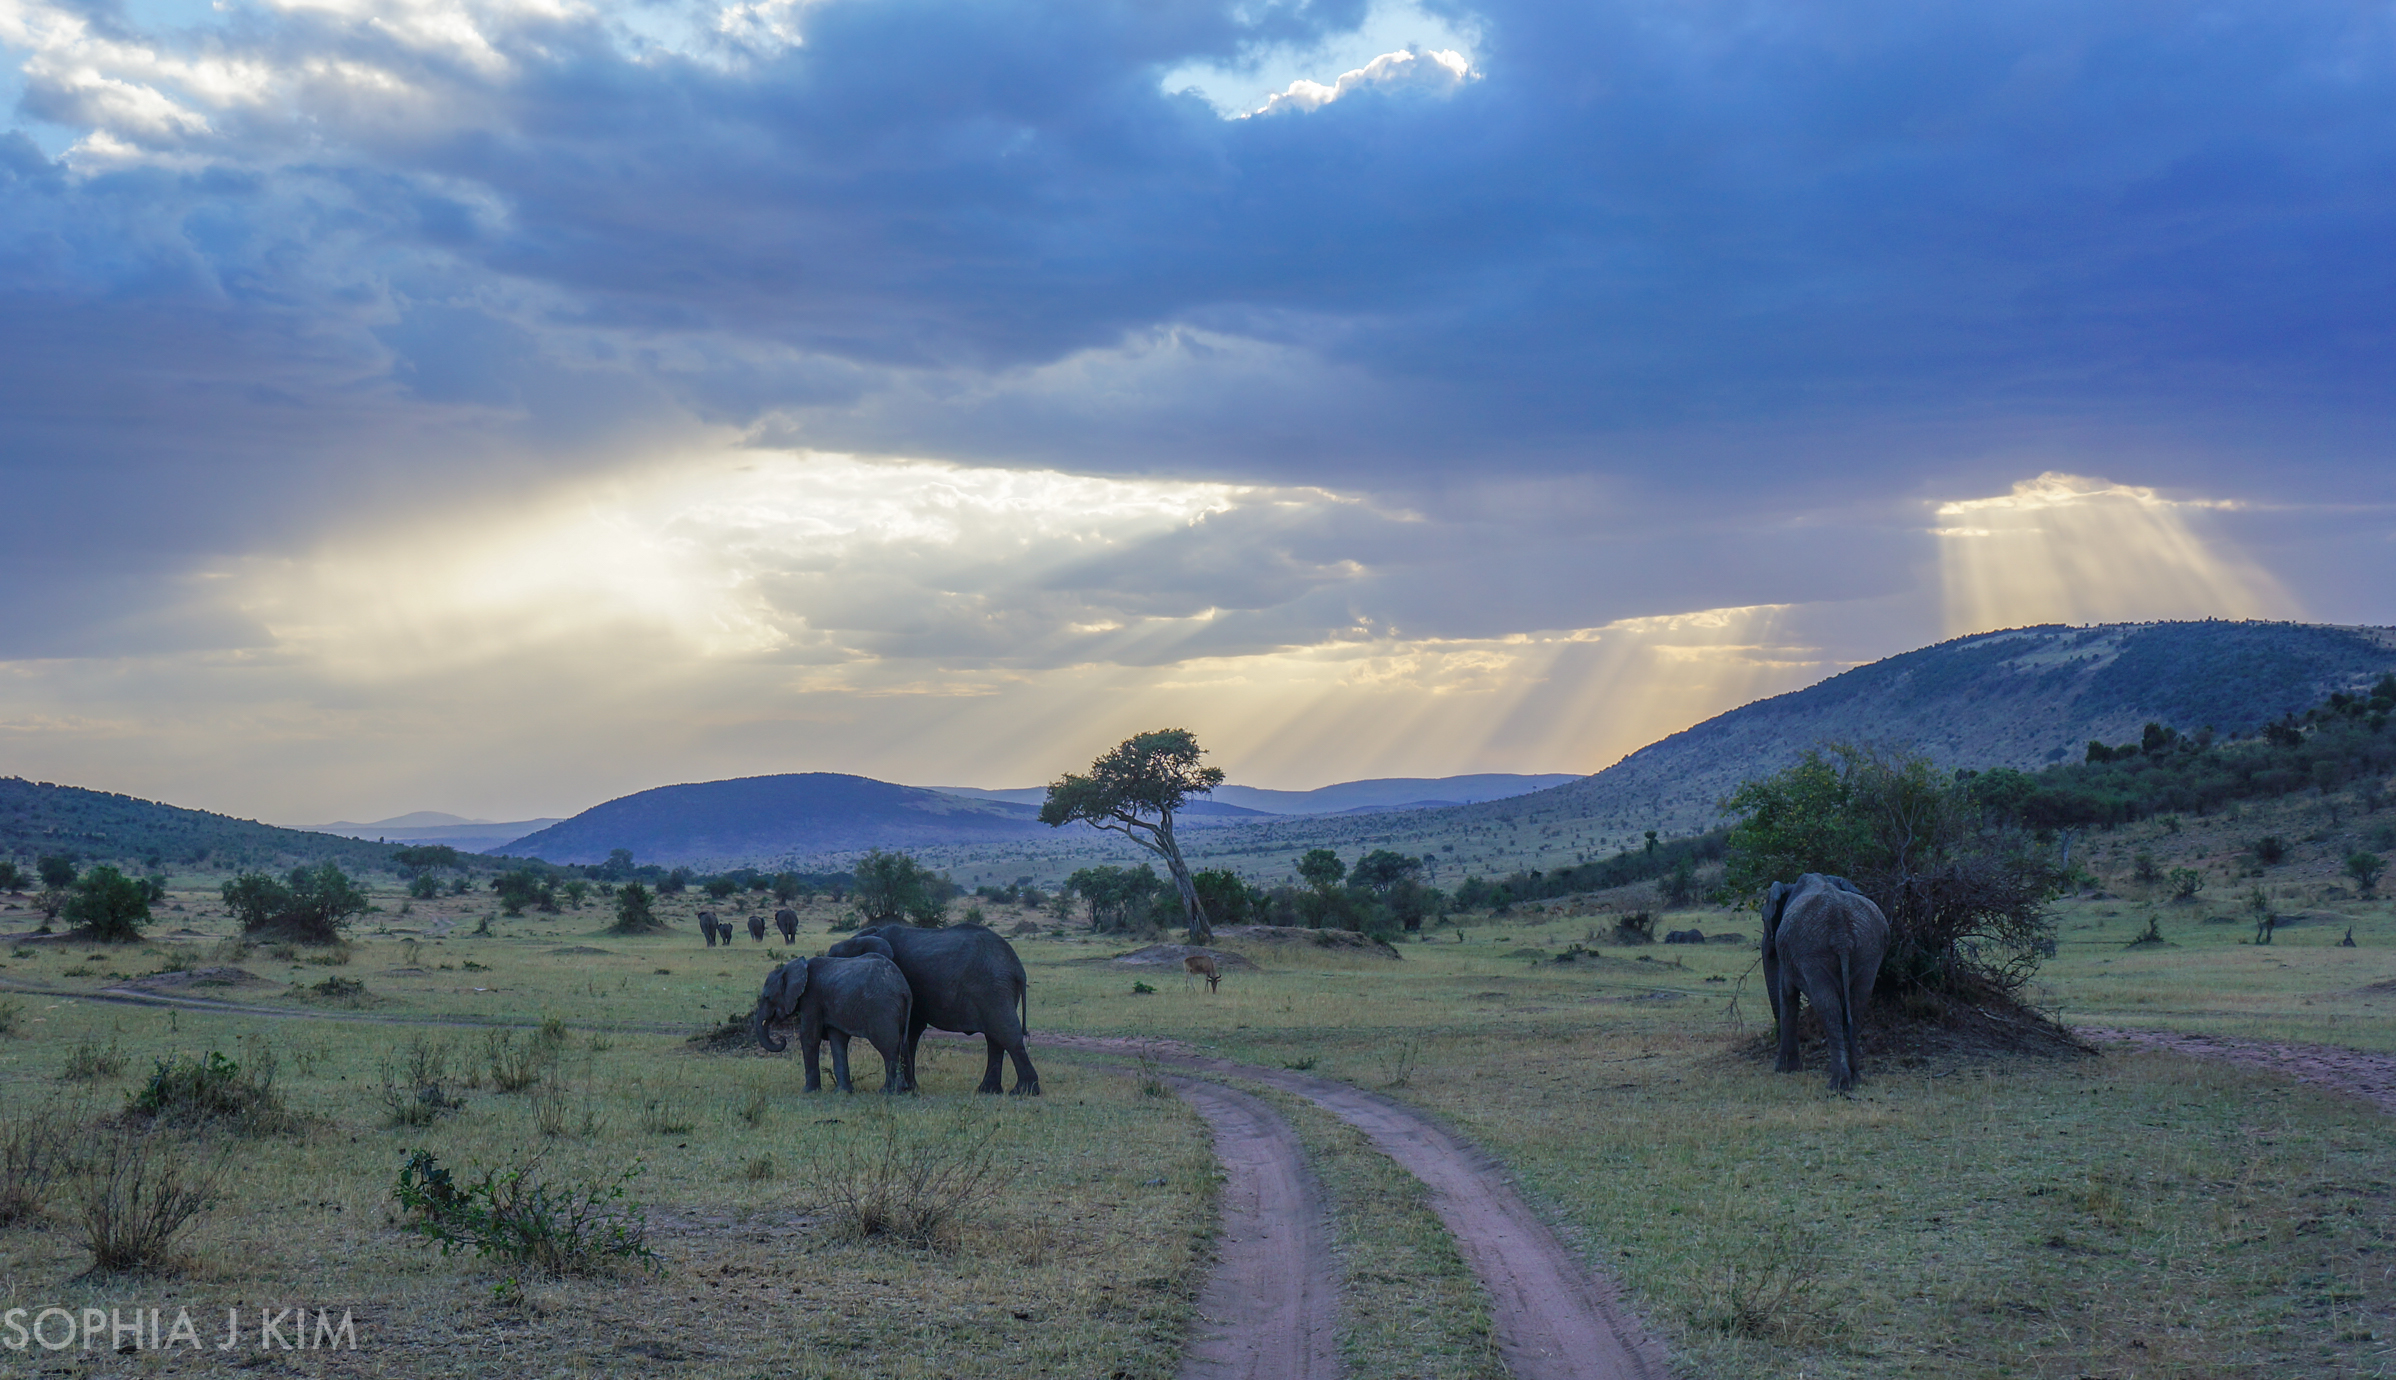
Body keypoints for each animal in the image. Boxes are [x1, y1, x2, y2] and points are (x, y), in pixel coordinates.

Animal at [757, 953, 915, 1092]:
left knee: (888, 1047)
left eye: (767, 997)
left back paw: (889, 1091)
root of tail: (905, 989)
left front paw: (808, 1091)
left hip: (882, 1010)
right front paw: (843, 1092)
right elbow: (838, 1040)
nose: (781, 1038)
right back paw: (904, 1089)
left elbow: (810, 1037)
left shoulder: (811, 998)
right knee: (903, 1043)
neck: (791, 967)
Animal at [829, 920, 1035, 1092]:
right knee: (995, 1037)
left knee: (1006, 1033)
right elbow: (911, 1033)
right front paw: (910, 1088)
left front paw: (906, 1088)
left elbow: (907, 1032)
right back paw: (988, 1090)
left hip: (993, 987)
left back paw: (1023, 1091)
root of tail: (1018, 968)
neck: (872, 934)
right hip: (999, 989)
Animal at [1763, 872, 1888, 1087]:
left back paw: (1838, 1085)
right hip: (1868, 950)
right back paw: (1855, 1079)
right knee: (1858, 1004)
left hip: (1814, 953)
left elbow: (1787, 993)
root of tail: (1842, 933)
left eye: (1765, 921)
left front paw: (1783, 1070)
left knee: (1828, 1007)